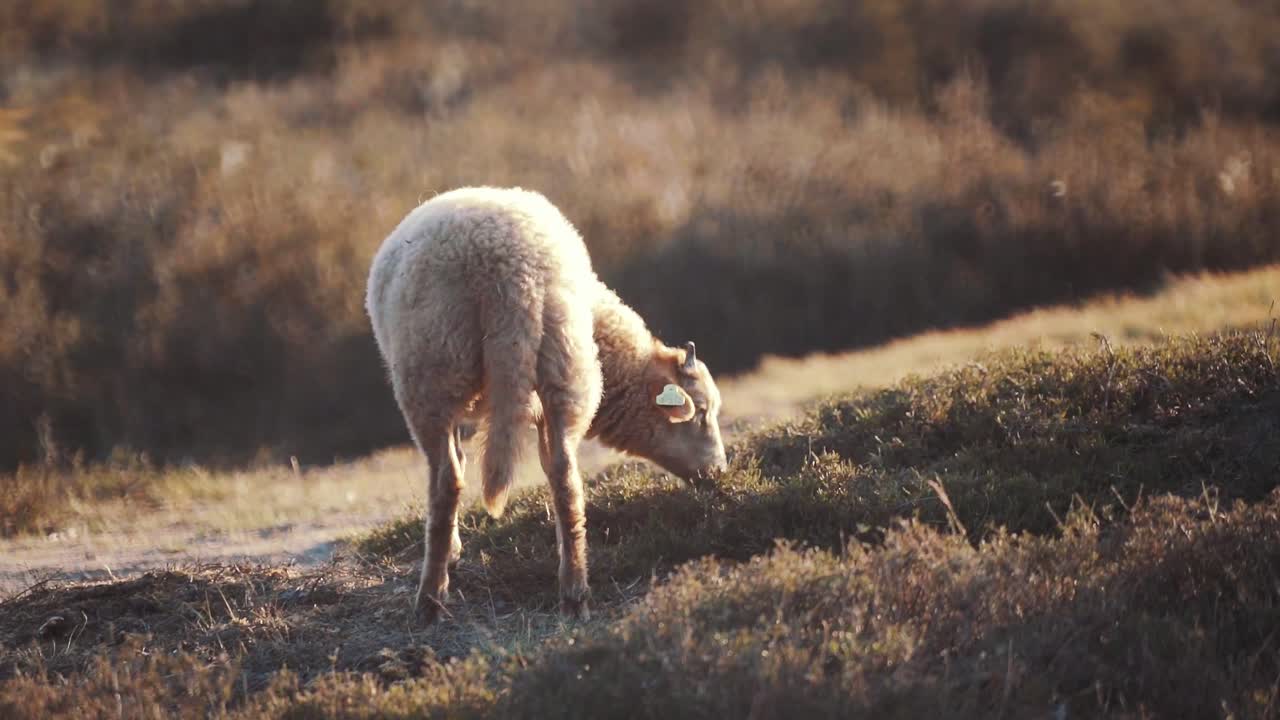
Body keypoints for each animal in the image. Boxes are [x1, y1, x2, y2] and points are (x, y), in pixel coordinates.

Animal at [365, 186, 728, 622]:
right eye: (702, 413)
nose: (720, 473)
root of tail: (511, 275)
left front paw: (451, 552)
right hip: (564, 370)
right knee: (565, 478)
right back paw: (573, 591)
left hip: (431, 374)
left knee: (447, 480)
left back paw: (431, 599)